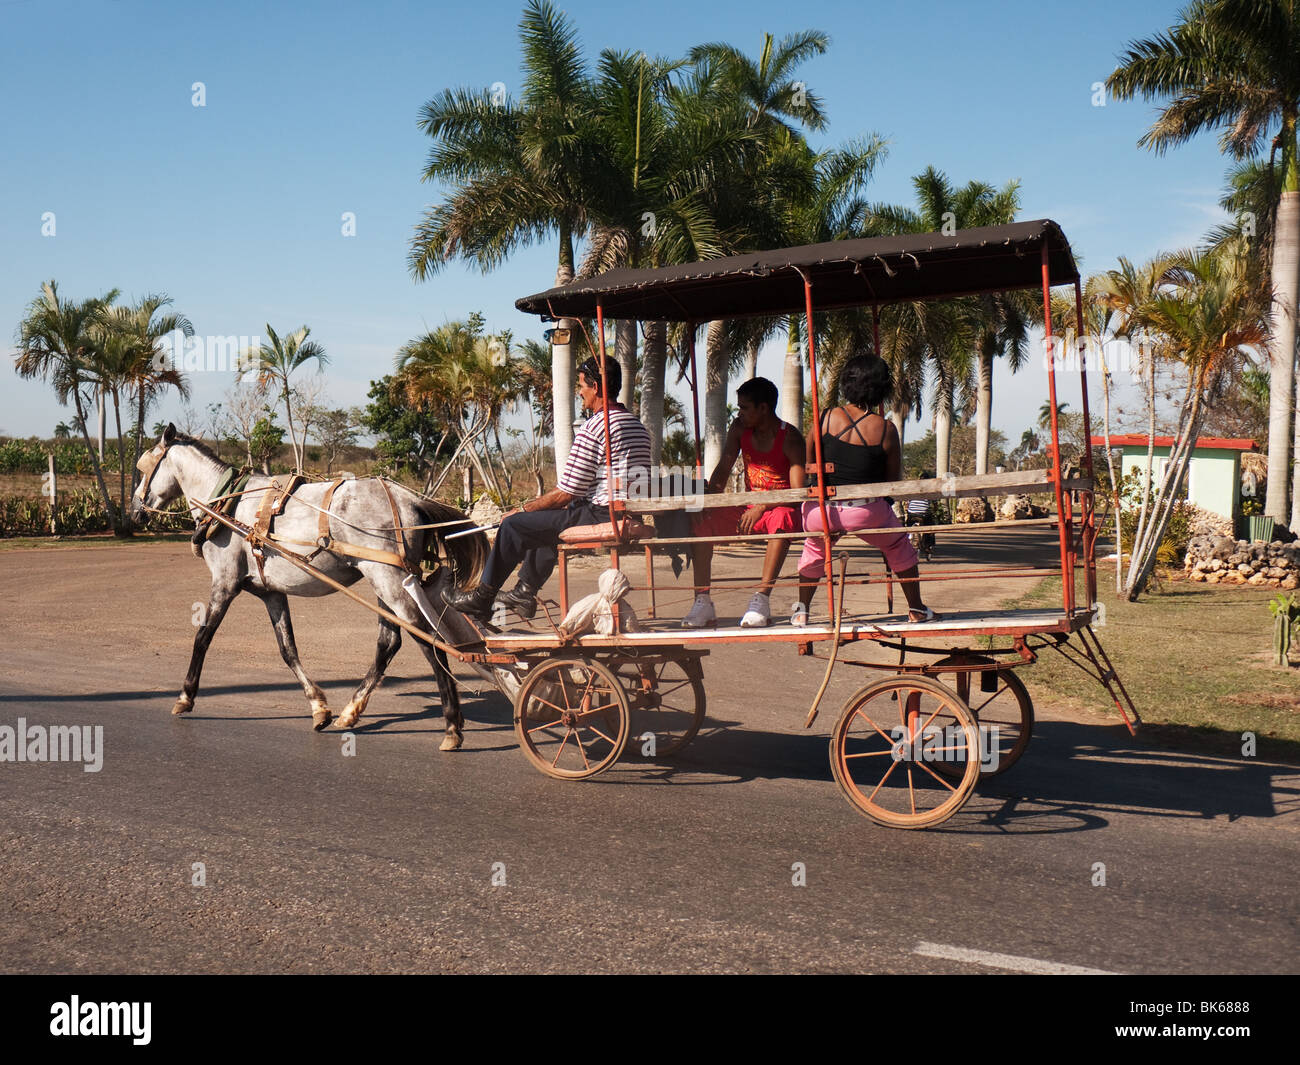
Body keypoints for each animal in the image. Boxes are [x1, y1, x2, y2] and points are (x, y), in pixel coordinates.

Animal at [130, 423, 488, 749]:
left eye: (143, 468)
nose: (135, 512)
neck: (226, 504)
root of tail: (409, 499)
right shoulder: (270, 592)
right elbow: (287, 649)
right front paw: (318, 707)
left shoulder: (224, 582)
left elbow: (202, 638)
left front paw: (185, 696)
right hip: (389, 580)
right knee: (389, 642)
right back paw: (351, 711)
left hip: (387, 578)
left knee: (426, 638)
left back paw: (452, 726)